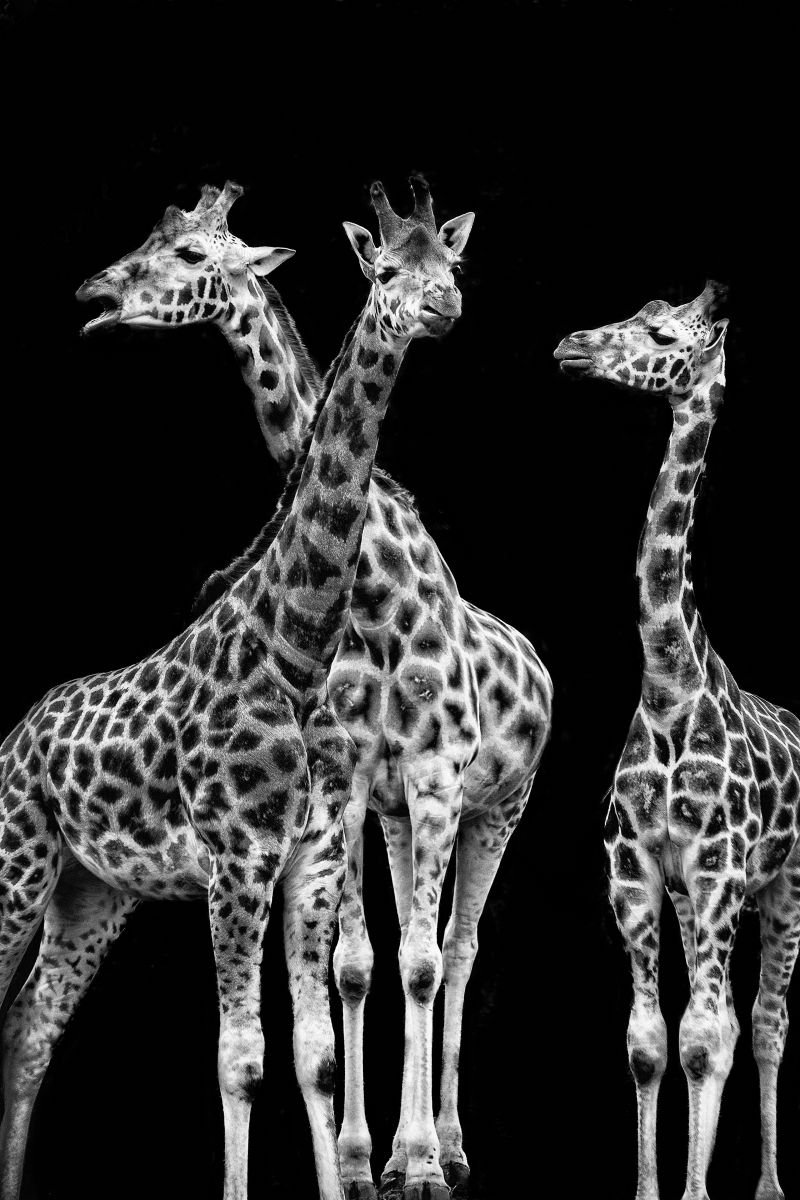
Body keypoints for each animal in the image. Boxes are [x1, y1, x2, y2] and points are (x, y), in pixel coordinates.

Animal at [77, 180, 553, 1199]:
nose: (98, 293)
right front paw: (363, 1157)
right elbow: (360, 963)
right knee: (412, 943)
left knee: (458, 951)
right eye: (382, 269)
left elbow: (419, 961)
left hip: (501, 801)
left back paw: (452, 1146)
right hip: (409, 816)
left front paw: (414, 1163)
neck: (374, 592)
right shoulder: (354, 778)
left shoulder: (432, 772)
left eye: (452, 261)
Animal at [554, 282, 800, 1200]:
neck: (668, 686)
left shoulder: (722, 871)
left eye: (661, 336)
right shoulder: (635, 873)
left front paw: (695, 1190)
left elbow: (705, 1039)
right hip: (699, 901)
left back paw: (767, 1183)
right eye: (635, 313)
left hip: (782, 883)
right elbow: (651, 1043)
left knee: (762, 1020)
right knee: (724, 1014)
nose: (572, 346)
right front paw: (651, 1188)